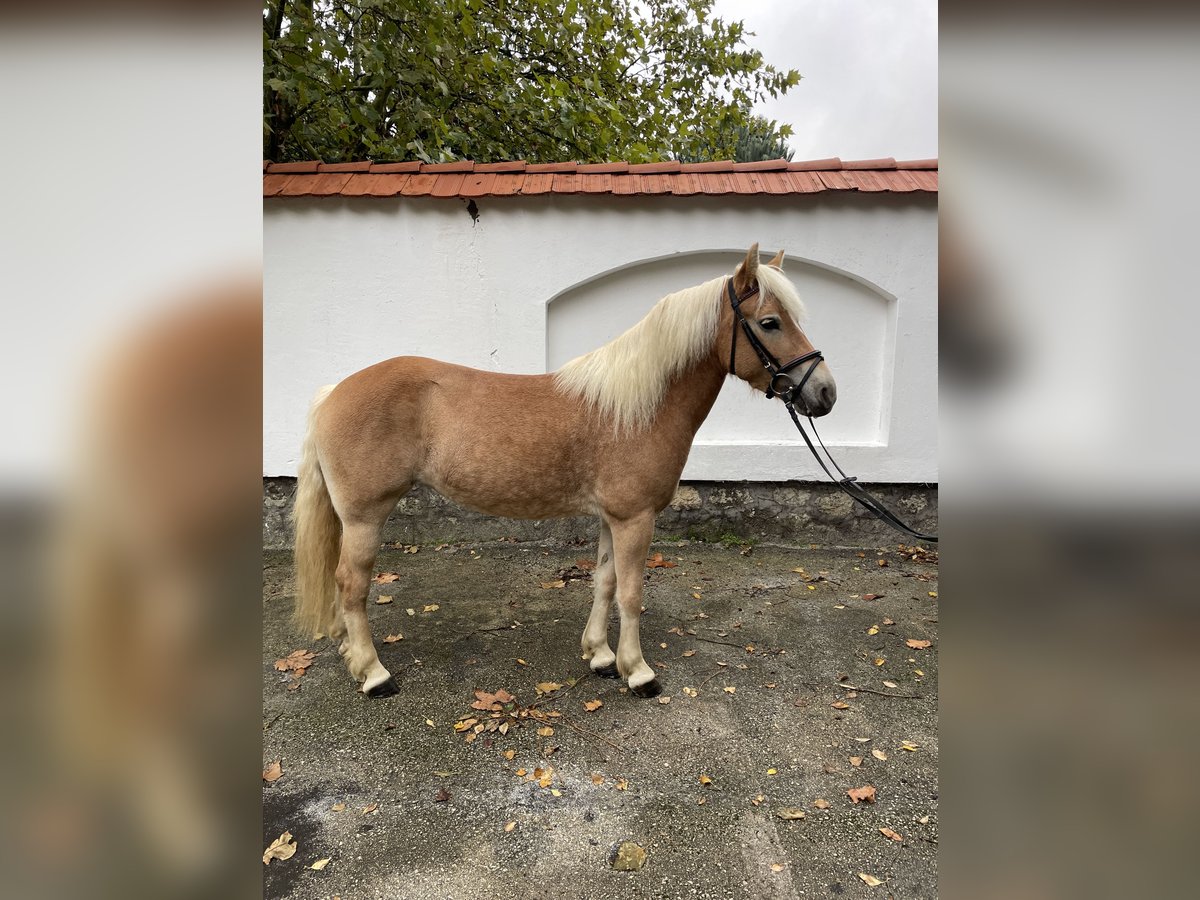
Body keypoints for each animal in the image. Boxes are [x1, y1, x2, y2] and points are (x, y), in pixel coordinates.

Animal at [290, 244, 835, 696]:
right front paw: (639, 672)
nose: (825, 392)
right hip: (365, 517)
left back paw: (349, 652)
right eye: (770, 322)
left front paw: (600, 656)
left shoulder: (613, 517)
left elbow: (604, 583)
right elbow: (632, 594)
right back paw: (374, 673)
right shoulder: (636, 518)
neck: (637, 407)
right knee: (353, 584)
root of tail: (333, 393)